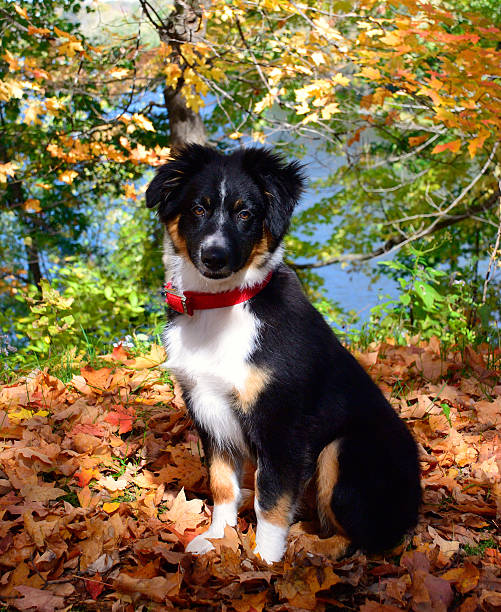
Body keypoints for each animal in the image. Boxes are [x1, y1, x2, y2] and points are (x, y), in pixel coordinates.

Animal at [146, 145, 420, 564]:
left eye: (245, 213)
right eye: (198, 208)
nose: (214, 258)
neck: (224, 304)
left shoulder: (282, 425)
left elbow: (271, 500)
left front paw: (265, 560)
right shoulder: (208, 411)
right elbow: (223, 485)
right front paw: (217, 539)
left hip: (343, 450)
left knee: (365, 538)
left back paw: (313, 548)